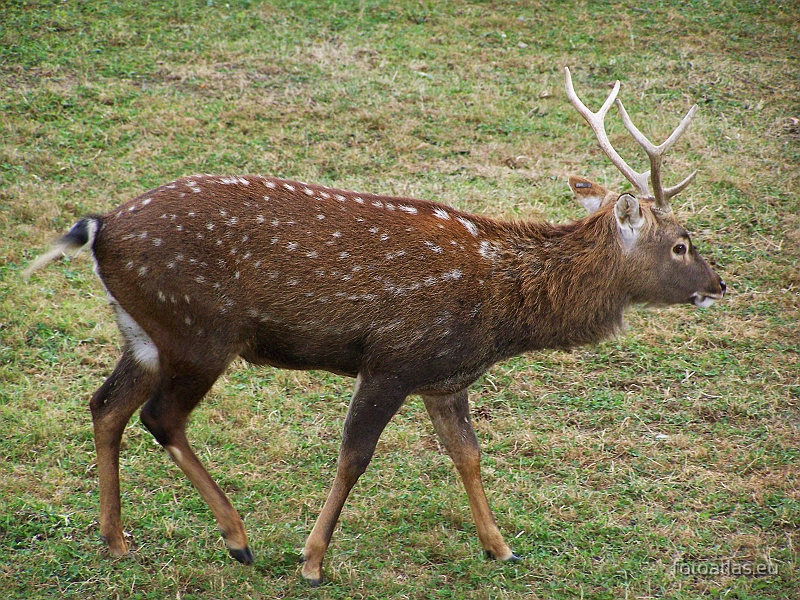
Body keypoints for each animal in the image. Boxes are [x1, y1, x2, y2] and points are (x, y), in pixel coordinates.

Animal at [23, 68, 724, 584]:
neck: (502, 315)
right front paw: (312, 561)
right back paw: (238, 539)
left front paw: (501, 548)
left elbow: (468, 454)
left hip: (144, 333)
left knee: (106, 405)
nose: (720, 285)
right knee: (159, 417)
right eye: (682, 244)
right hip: (198, 332)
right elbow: (355, 455)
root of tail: (99, 227)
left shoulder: (445, 375)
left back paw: (116, 540)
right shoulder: (393, 358)